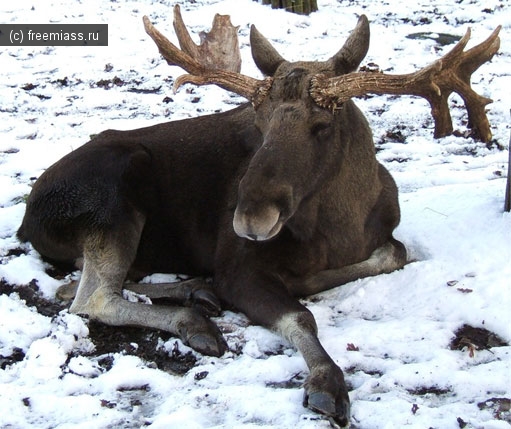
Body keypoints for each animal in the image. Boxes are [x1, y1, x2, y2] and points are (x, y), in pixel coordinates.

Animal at [17, 6, 500, 424]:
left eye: (322, 125)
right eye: (259, 122)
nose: (249, 217)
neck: (343, 228)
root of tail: (25, 221)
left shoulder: (383, 238)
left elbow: (394, 252)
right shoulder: (237, 264)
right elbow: (300, 316)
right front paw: (326, 382)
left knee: (76, 287)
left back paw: (196, 291)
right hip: (115, 194)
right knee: (90, 297)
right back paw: (194, 317)